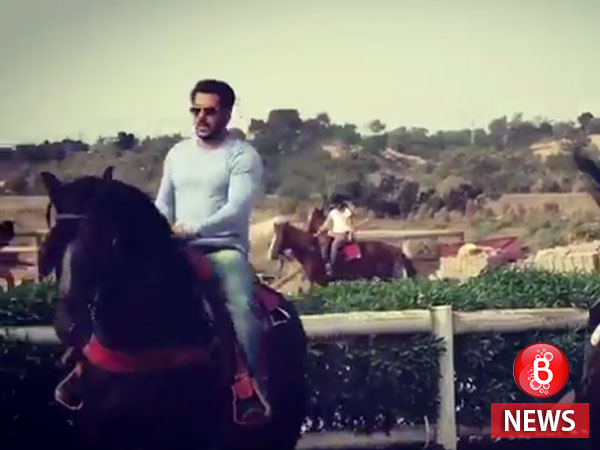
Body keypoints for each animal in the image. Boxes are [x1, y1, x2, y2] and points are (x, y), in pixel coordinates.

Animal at [268, 212, 415, 287]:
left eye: (280, 235)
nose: (272, 254)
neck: (311, 249)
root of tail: (399, 252)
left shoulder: (321, 282)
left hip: (389, 278)